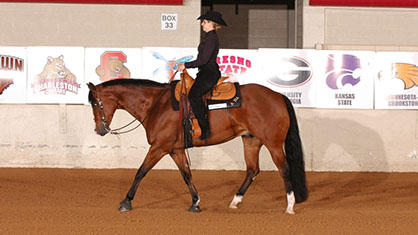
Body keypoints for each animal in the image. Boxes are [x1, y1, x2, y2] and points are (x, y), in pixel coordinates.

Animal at [86, 74, 308, 214]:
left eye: (95, 103)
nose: (100, 130)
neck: (157, 104)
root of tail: (279, 96)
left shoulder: (159, 147)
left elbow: (141, 171)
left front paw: (126, 202)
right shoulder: (175, 150)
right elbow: (186, 175)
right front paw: (195, 203)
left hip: (274, 144)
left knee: (284, 169)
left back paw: (289, 206)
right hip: (251, 141)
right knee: (252, 170)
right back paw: (234, 201)